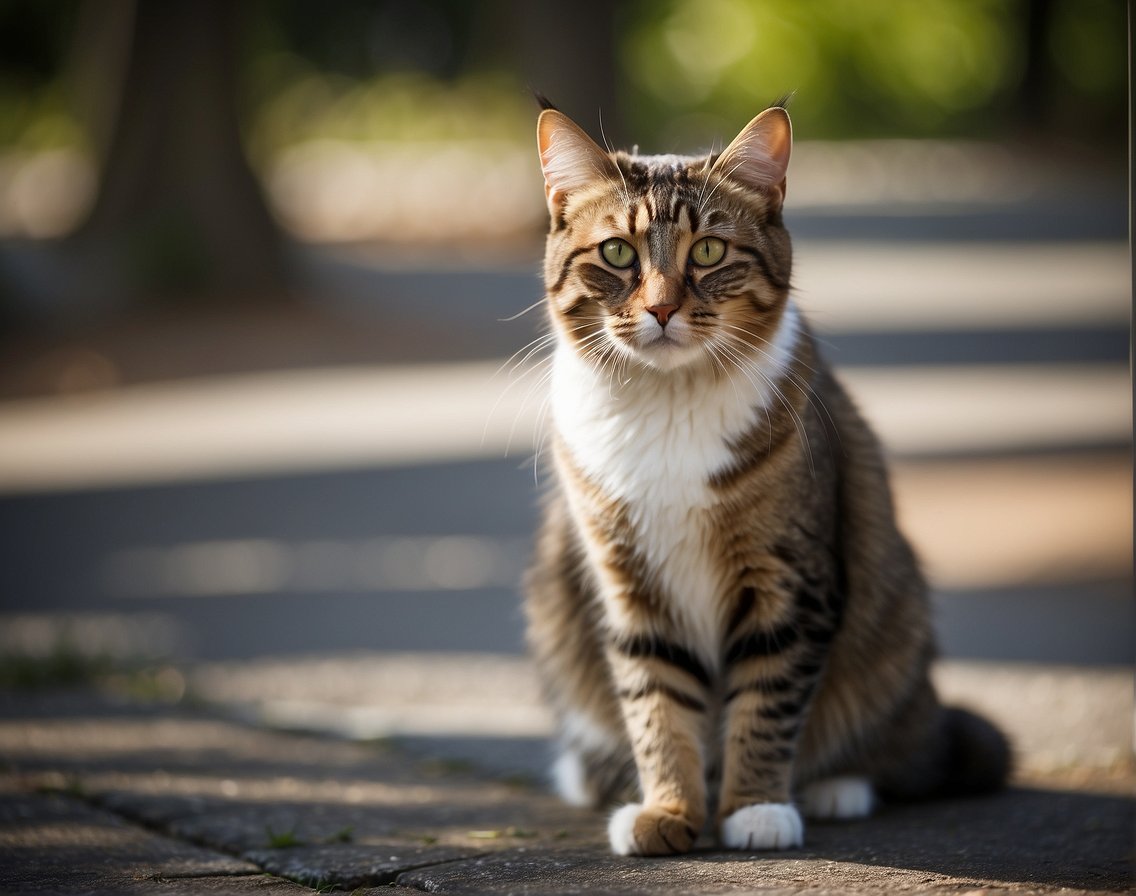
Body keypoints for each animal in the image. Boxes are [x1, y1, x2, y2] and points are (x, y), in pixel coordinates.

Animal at [522, 101, 1013, 858]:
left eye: (708, 253)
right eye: (617, 254)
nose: (661, 309)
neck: (668, 405)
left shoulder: (788, 580)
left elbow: (767, 701)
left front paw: (755, 808)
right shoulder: (630, 586)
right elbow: (656, 703)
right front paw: (668, 809)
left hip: (895, 624)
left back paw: (836, 785)